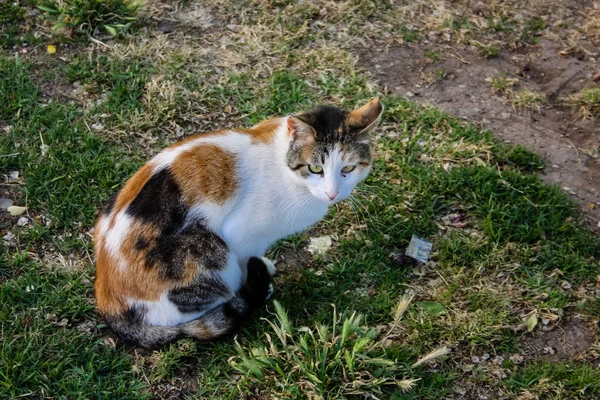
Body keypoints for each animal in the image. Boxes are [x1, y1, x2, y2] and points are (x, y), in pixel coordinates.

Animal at [94, 97, 384, 346]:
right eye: (315, 168)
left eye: (348, 169)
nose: (332, 193)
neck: (284, 165)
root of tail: (108, 300)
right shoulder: (241, 235)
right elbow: (245, 261)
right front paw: (256, 281)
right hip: (207, 251)